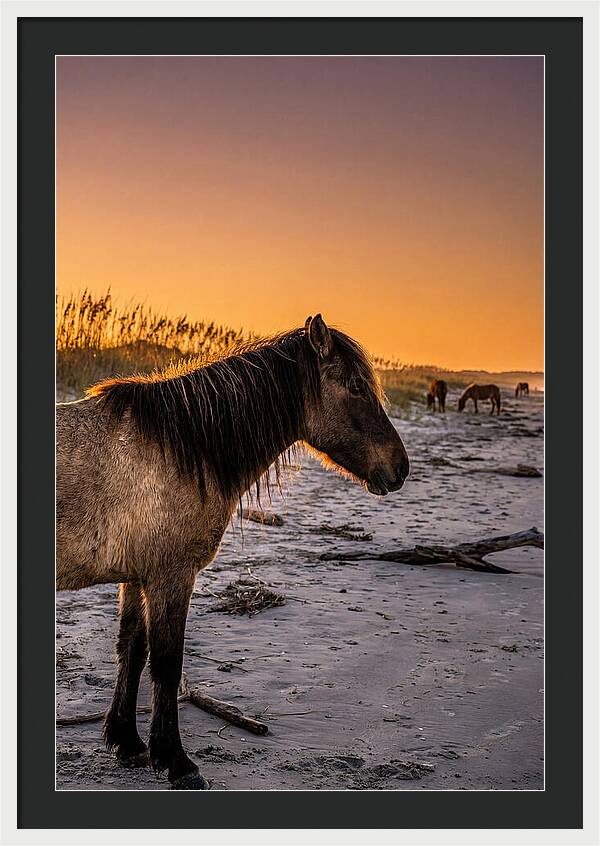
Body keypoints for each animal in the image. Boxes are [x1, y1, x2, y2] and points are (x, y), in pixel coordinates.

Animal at [56, 314, 410, 790]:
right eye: (356, 387)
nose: (400, 468)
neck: (181, 448)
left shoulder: (137, 576)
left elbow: (132, 648)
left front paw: (127, 742)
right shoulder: (171, 576)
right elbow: (167, 663)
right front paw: (176, 761)